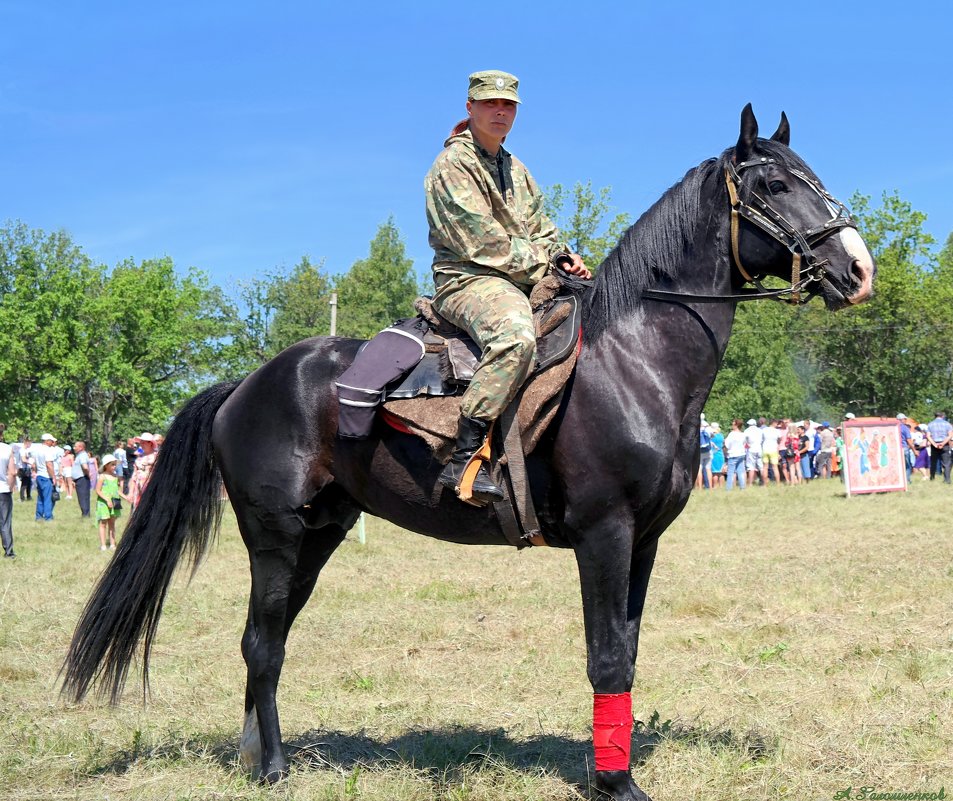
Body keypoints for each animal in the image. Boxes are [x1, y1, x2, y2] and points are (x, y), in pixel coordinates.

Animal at [65, 108, 872, 800]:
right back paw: (271, 769)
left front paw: (607, 767)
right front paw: (617, 783)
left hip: (318, 536)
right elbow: (606, 655)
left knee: (267, 641)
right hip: (274, 536)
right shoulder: (604, 535)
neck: (632, 361)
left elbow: (627, 650)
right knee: (262, 644)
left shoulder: (642, 542)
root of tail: (245, 385)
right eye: (773, 185)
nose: (858, 269)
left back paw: (256, 753)